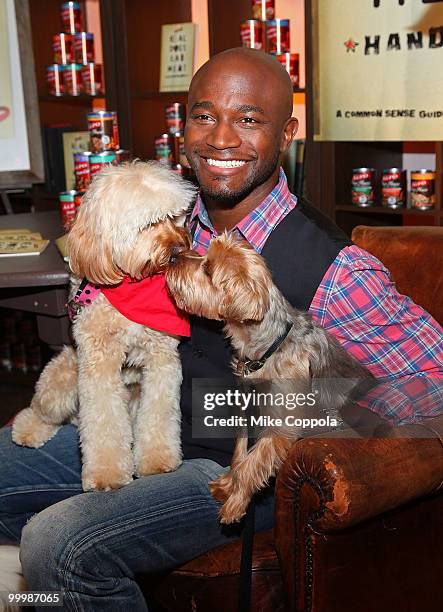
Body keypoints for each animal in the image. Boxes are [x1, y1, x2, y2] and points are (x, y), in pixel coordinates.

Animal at [167, 232, 374, 524]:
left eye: (207, 270)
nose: (173, 256)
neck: (267, 349)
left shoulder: (281, 424)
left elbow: (253, 463)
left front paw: (235, 502)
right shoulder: (245, 407)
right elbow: (239, 455)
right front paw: (228, 485)